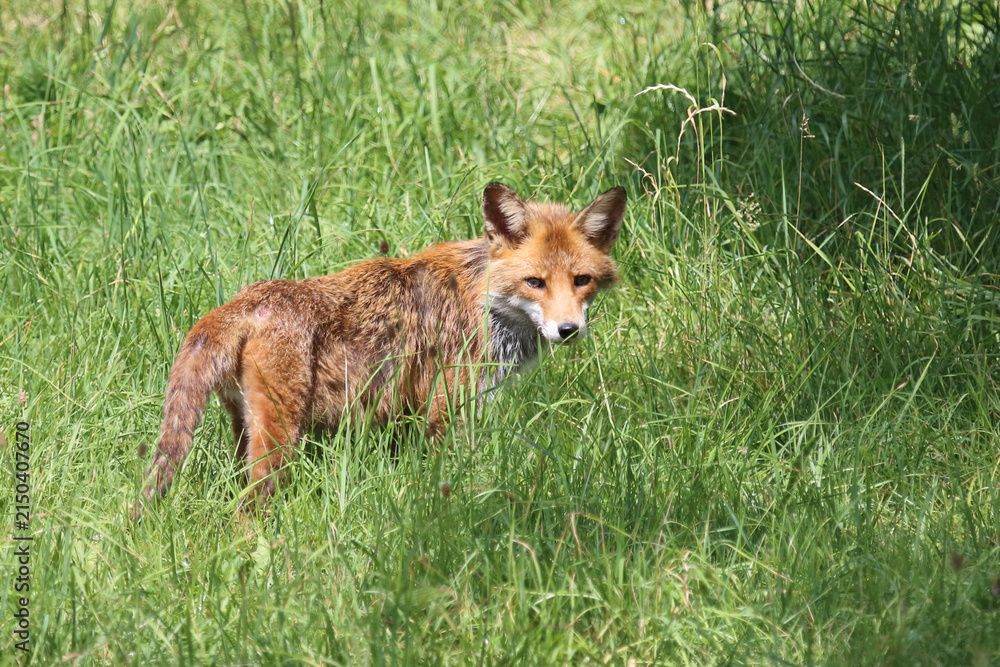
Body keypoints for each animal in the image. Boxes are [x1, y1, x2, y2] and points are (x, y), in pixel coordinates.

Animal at [135, 182, 626, 516]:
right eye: (535, 282)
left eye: (582, 280)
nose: (568, 330)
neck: (485, 302)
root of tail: (243, 300)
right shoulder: (448, 407)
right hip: (280, 436)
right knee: (249, 506)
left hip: (245, 427)